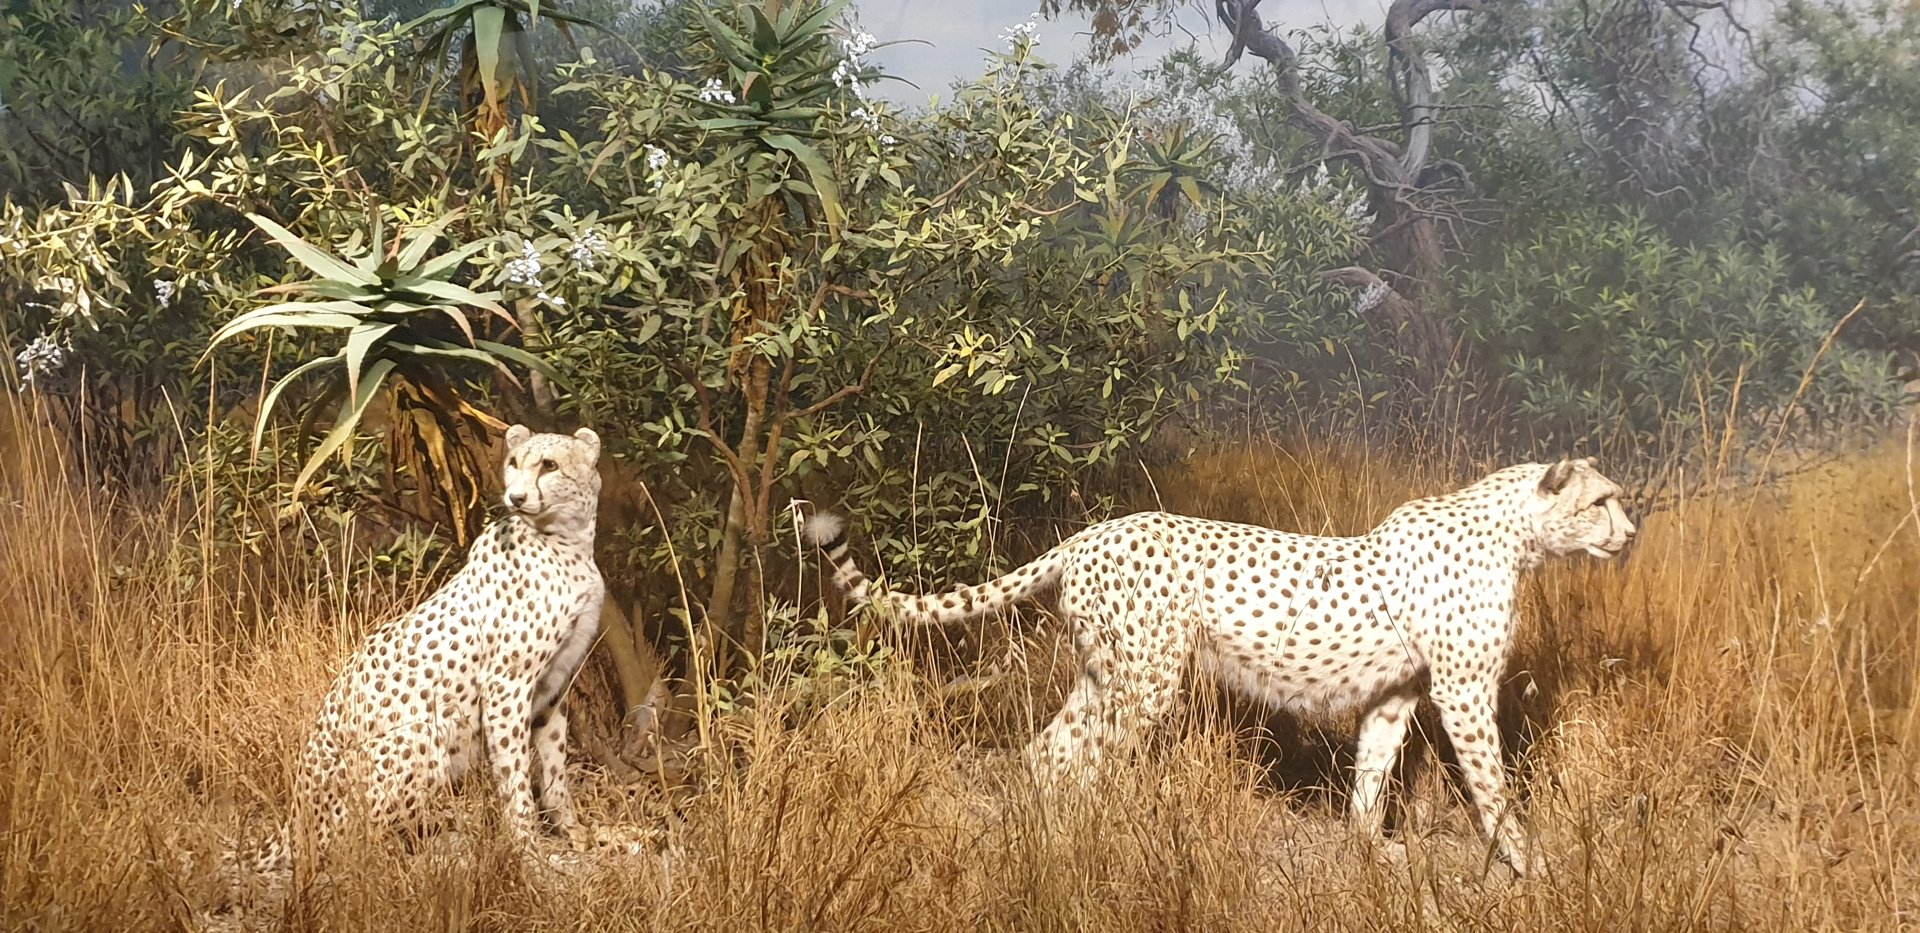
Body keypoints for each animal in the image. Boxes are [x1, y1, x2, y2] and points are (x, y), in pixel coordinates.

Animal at [252, 424, 606, 878]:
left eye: (550, 465)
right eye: (513, 463)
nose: (515, 497)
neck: (567, 540)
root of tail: (295, 814)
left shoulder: (554, 683)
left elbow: (554, 762)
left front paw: (571, 830)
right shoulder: (506, 684)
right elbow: (513, 772)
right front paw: (528, 848)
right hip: (423, 740)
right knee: (352, 843)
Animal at [804, 457, 1636, 877]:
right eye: (1603, 501)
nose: (1631, 532)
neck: (1517, 531)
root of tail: (1089, 534)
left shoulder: (1394, 694)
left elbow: (1371, 774)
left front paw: (1370, 847)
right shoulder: (1463, 692)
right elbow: (1495, 786)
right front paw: (1530, 862)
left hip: (1108, 672)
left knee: (1048, 750)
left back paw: (1051, 834)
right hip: (1144, 682)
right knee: (1079, 758)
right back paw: (1086, 838)